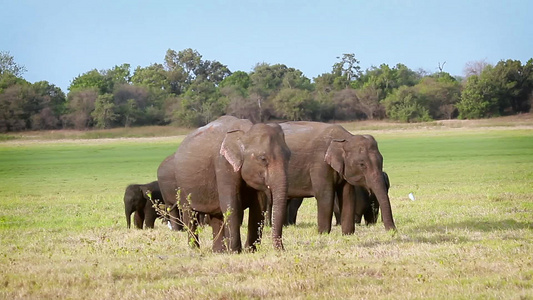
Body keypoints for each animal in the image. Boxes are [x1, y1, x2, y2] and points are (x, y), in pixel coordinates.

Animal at [158, 116, 290, 252]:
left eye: (289, 156)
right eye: (263, 159)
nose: (281, 250)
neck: (245, 131)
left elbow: (259, 207)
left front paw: (250, 251)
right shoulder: (223, 163)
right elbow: (232, 204)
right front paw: (235, 251)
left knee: (216, 215)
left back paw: (218, 251)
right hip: (182, 185)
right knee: (189, 213)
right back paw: (195, 249)